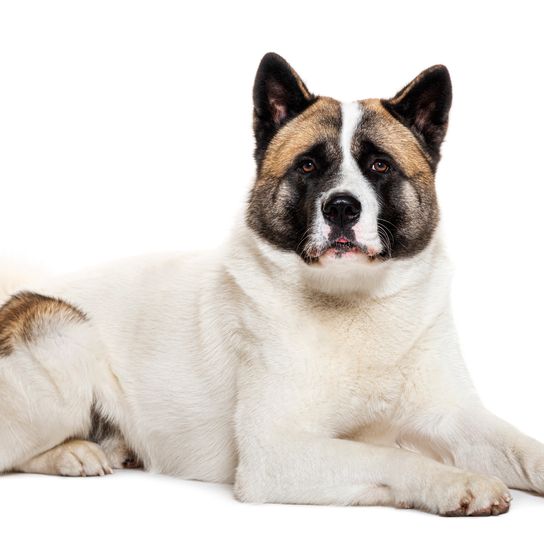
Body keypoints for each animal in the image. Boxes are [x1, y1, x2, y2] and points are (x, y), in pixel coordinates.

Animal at [1, 53, 544, 516]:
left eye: (379, 165)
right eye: (308, 166)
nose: (341, 207)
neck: (355, 302)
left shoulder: (452, 417)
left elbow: (520, 444)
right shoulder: (276, 454)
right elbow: (395, 458)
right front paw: (458, 482)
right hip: (63, 331)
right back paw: (74, 454)